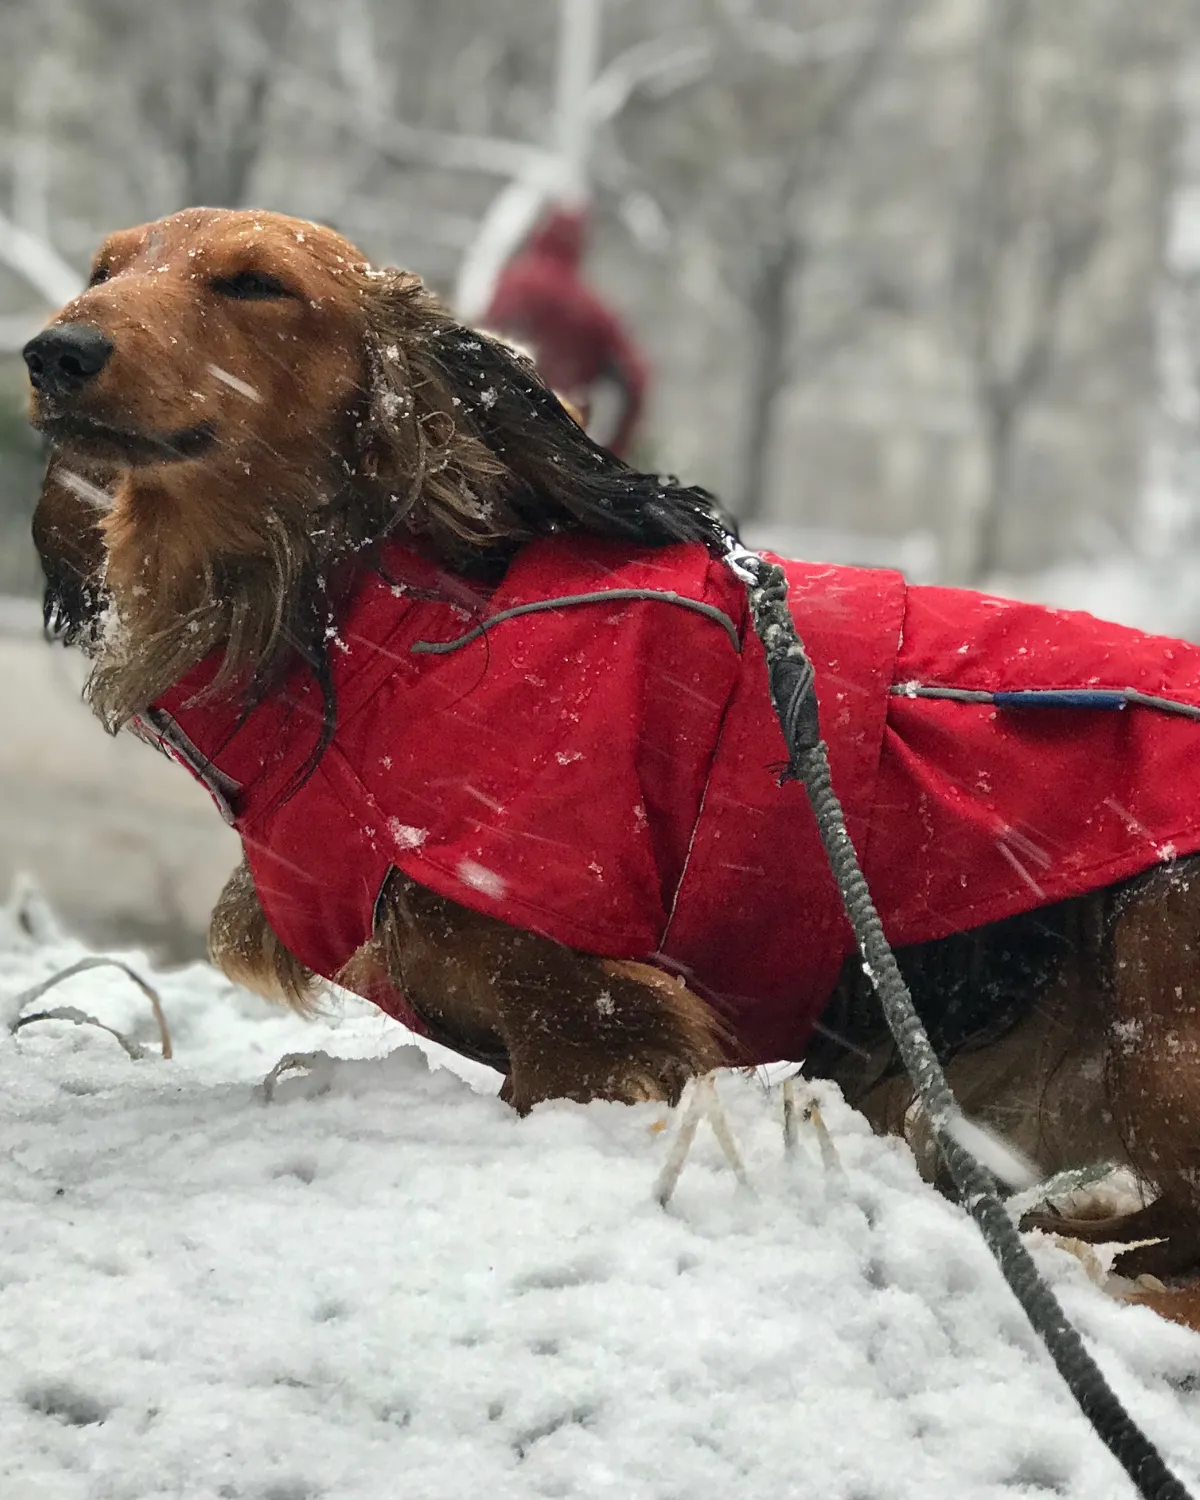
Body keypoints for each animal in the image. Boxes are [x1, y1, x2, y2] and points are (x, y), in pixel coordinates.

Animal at [28, 208, 1200, 1278]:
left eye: (255, 283)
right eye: (103, 267)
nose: (51, 352)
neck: (370, 636)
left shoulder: (589, 1013)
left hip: (1153, 976)